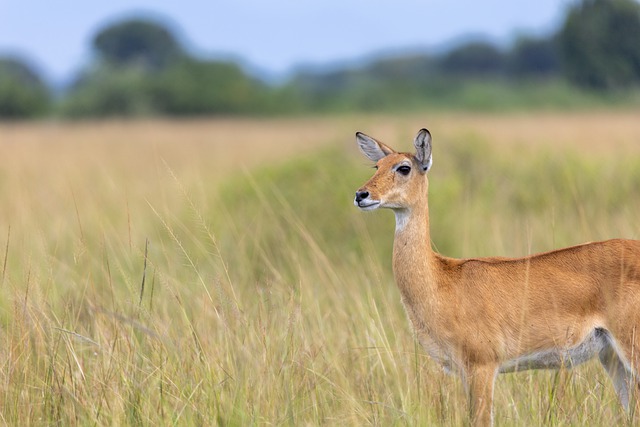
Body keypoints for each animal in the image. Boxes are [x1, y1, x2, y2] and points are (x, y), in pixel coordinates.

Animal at [352, 129, 640, 426]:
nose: (361, 194)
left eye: (404, 167)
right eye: (377, 166)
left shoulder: (482, 366)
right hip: (612, 356)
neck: (441, 280)